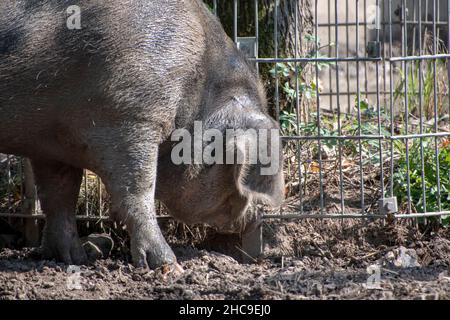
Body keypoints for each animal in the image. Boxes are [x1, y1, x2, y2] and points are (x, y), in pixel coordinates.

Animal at [0, 0, 284, 270]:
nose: (257, 218)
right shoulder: (130, 117)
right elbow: (137, 191)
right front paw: (170, 267)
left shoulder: (52, 143)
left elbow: (59, 196)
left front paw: (74, 259)